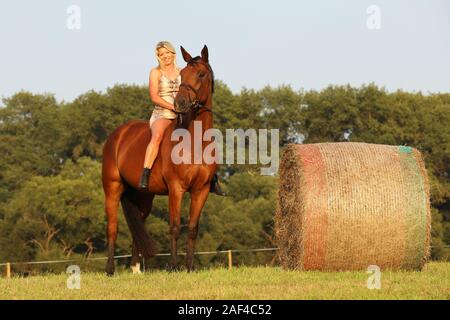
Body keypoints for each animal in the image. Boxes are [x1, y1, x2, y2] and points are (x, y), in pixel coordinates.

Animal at [101, 44, 217, 276]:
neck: (195, 141)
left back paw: (136, 270)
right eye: (182, 75)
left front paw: (190, 267)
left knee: (137, 226)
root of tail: (117, 135)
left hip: (144, 197)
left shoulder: (201, 190)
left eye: (201, 74)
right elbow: (174, 227)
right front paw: (173, 266)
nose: (180, 103)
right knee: (112, 228)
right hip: (112, 189)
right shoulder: (176, 189)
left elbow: (192, 228)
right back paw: (110, 269)